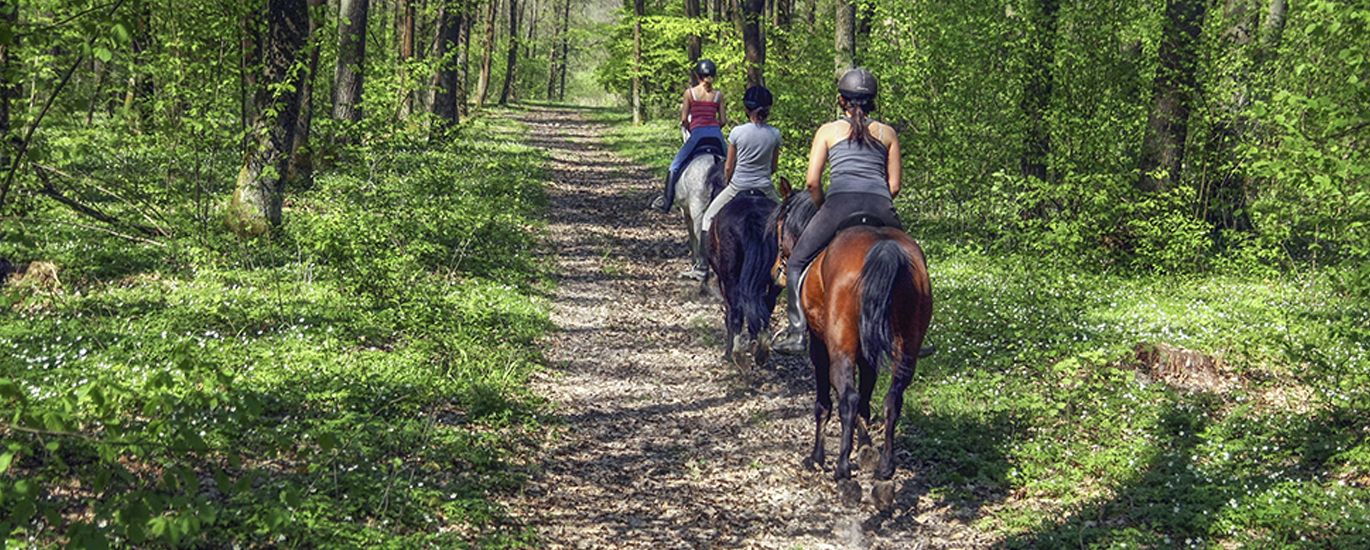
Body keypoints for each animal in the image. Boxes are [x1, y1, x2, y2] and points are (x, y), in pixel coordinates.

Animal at [772, 192, 931, 504]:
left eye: (779, 227)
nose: (776, 272)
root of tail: (884, 247)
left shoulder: (820, 344)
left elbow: (825, 401)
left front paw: (818, 457)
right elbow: (868, 395)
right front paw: (867, 448)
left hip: (841, 345)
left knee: (848, 397)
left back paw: (843, 472)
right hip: (906, 345)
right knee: (892, 399)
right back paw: (885, 471)